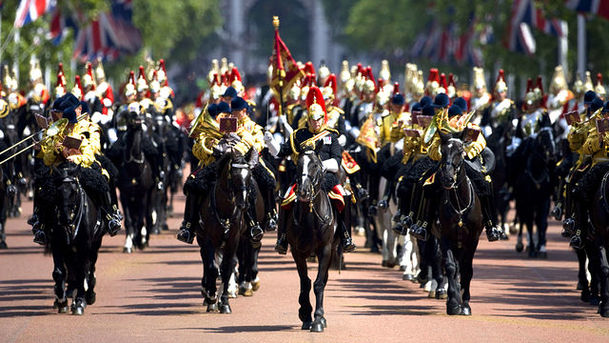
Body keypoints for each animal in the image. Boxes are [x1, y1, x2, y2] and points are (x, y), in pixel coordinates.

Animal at [47, 163, 103, 316]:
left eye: (74, 191)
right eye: (57, 191)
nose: (64, 218)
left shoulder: (85, 245)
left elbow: (82, 272)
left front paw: (79, 302)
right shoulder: (57, 244)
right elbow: (59, 272)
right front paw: (62, 301)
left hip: (94, 245)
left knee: (90, 268)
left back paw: (89, 295)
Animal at [195, 144, 256, 314]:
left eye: (249, 175)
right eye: (233, 175)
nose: (243, 204)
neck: (225, 210)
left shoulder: (233, 240)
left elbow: (227, 268)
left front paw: (225, 302)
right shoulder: (209, 240)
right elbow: (212, 268)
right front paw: (211, 298)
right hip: (203, 240)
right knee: (207, 262)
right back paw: (208, 293)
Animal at [284, 150, 338, 334]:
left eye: (315, 164)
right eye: (298, 164)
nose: (304, 192)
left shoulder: (325, 249)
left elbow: (319, 283)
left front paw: (319, 319)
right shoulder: (297, 251)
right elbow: (305, 282)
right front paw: (306, 314)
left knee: (325, 278)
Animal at [436, 133, 484, 316]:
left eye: (460, 151)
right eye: (442, 151)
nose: (447, 179)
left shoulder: (473, 239)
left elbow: (467, 269)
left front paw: (465, 305)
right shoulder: (444, 235)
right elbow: (450, 267)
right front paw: (453, 303)